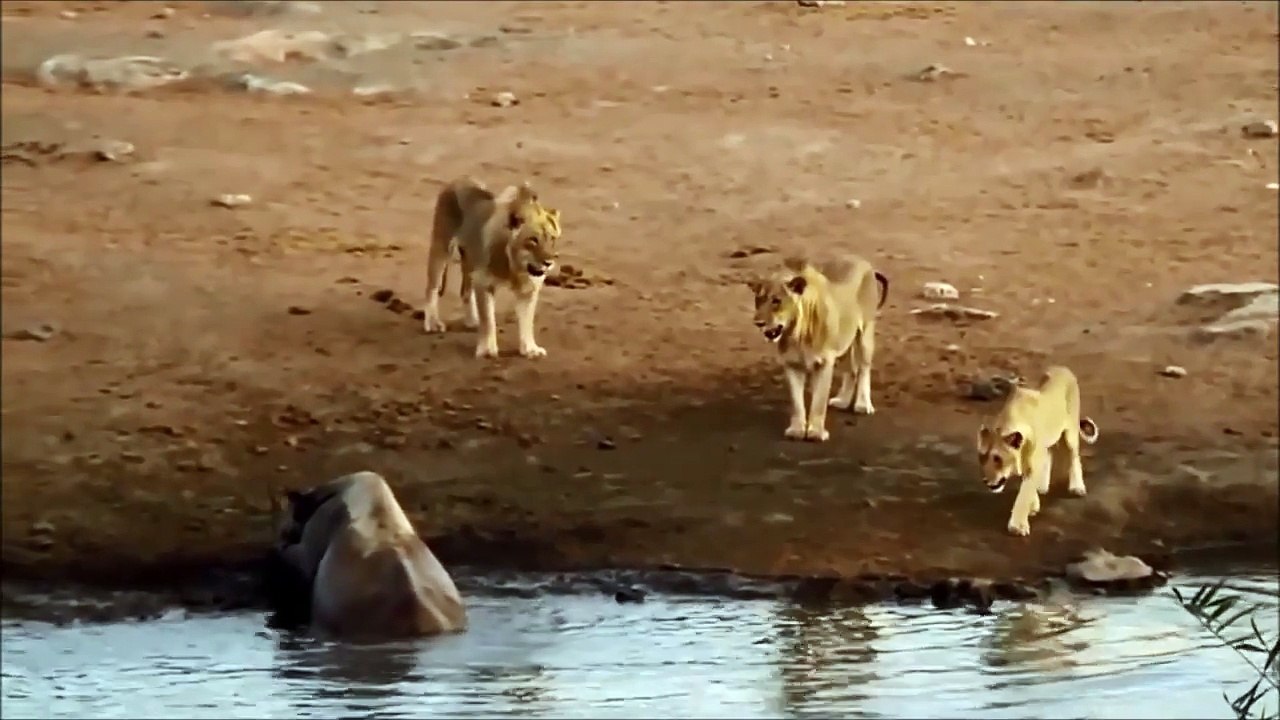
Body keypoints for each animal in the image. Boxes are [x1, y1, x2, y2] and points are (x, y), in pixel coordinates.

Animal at [422, 176, 562, 359]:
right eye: (532, 240)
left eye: (552, 239)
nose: (548, 262)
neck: (515, 266)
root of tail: (460, 179)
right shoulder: (484, 283)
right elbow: (488, 319)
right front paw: (487, 350)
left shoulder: (529, 290)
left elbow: (527, 321)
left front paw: (530, 349)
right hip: (441, 247)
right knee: (432, 288)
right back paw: (432, 323)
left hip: (470, 260)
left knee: (465, 291)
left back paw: (472, 321)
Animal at [747, 254, 889, 442]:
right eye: (759, 300)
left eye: (776, 301)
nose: (758, 323)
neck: (796, 333)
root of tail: (862, 261)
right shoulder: (791, 364)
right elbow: (797, 402)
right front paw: (797, 430)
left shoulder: (825, 362)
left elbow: (819, 401)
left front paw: (816, 433)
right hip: (844, 341)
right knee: (851, 369)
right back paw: (842, 401)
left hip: (865, 332)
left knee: (864, 368)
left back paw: (863, 404)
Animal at [976, 365, 1100, 537]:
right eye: (982, 457)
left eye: (997, 458)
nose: (986, 482)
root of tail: (1062, 368)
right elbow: (1028, 485)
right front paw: (1033, 505)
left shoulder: (1033, 463)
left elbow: (1024, 493)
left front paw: (1017, 526)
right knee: (1049, 454)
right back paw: (1042, 486)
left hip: (1070, 433)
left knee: (1074, 457)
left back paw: (1077, 487)